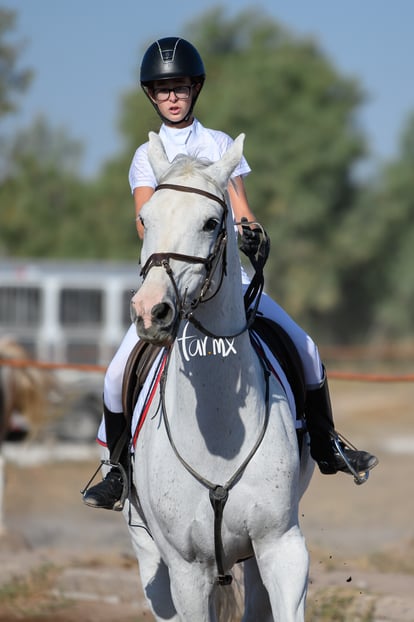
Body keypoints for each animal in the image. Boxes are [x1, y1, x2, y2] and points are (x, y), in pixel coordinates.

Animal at [126, 134, 314, 620]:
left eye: (212, 223)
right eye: (145, 218)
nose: (150, 311)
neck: (217, 434)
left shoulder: (281, 547)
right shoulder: (188, 572)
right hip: (150, 557)